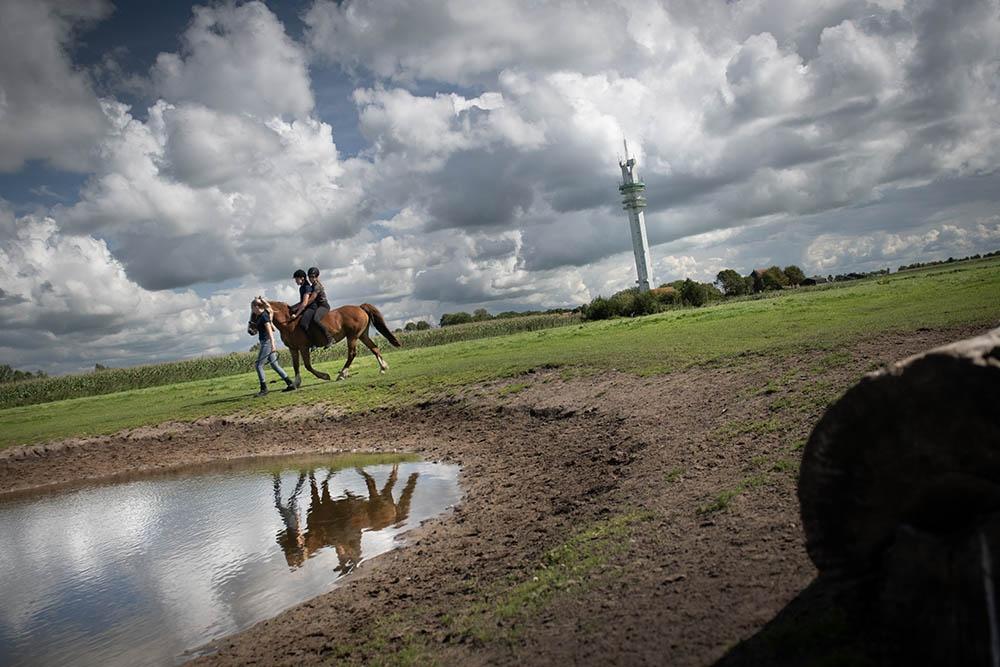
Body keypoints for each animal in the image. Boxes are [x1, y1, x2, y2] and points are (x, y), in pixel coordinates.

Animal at [248, 298, 400, 386]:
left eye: (255, 313)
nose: (250, 330)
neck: (289, 323)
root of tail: (360, 307)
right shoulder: (293, 348)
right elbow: (296, 365)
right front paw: (295, 383)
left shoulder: (303, 347)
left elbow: (308, 366)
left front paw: (325, 376)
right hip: (362, 335)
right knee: (374, 348)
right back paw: (383, 368)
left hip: (352, 337)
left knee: (352, 354)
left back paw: (342, 375)